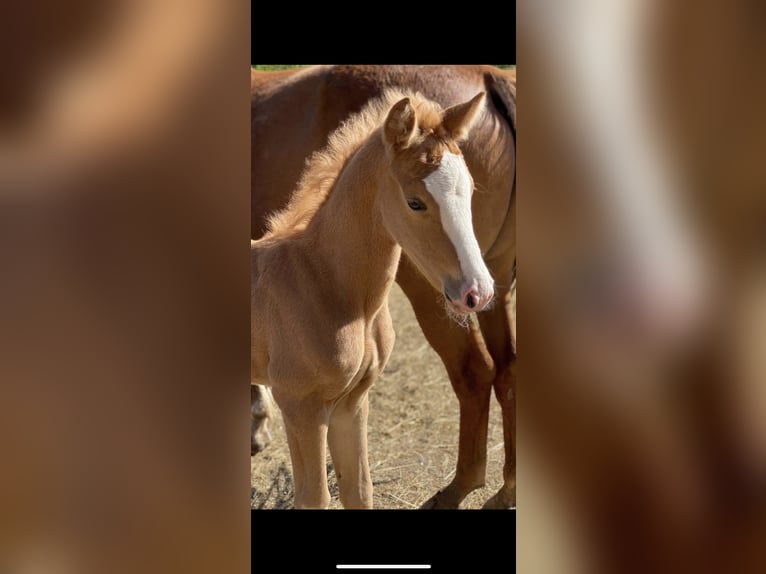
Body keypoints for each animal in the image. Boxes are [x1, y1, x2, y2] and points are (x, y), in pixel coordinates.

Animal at [252, 65, 516, 510]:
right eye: (415, 202)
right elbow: (316, 498)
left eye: (469, 189)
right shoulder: (301, 406)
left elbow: (359, 490)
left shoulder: (352, 402)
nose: (477, 292)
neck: (321, 278)